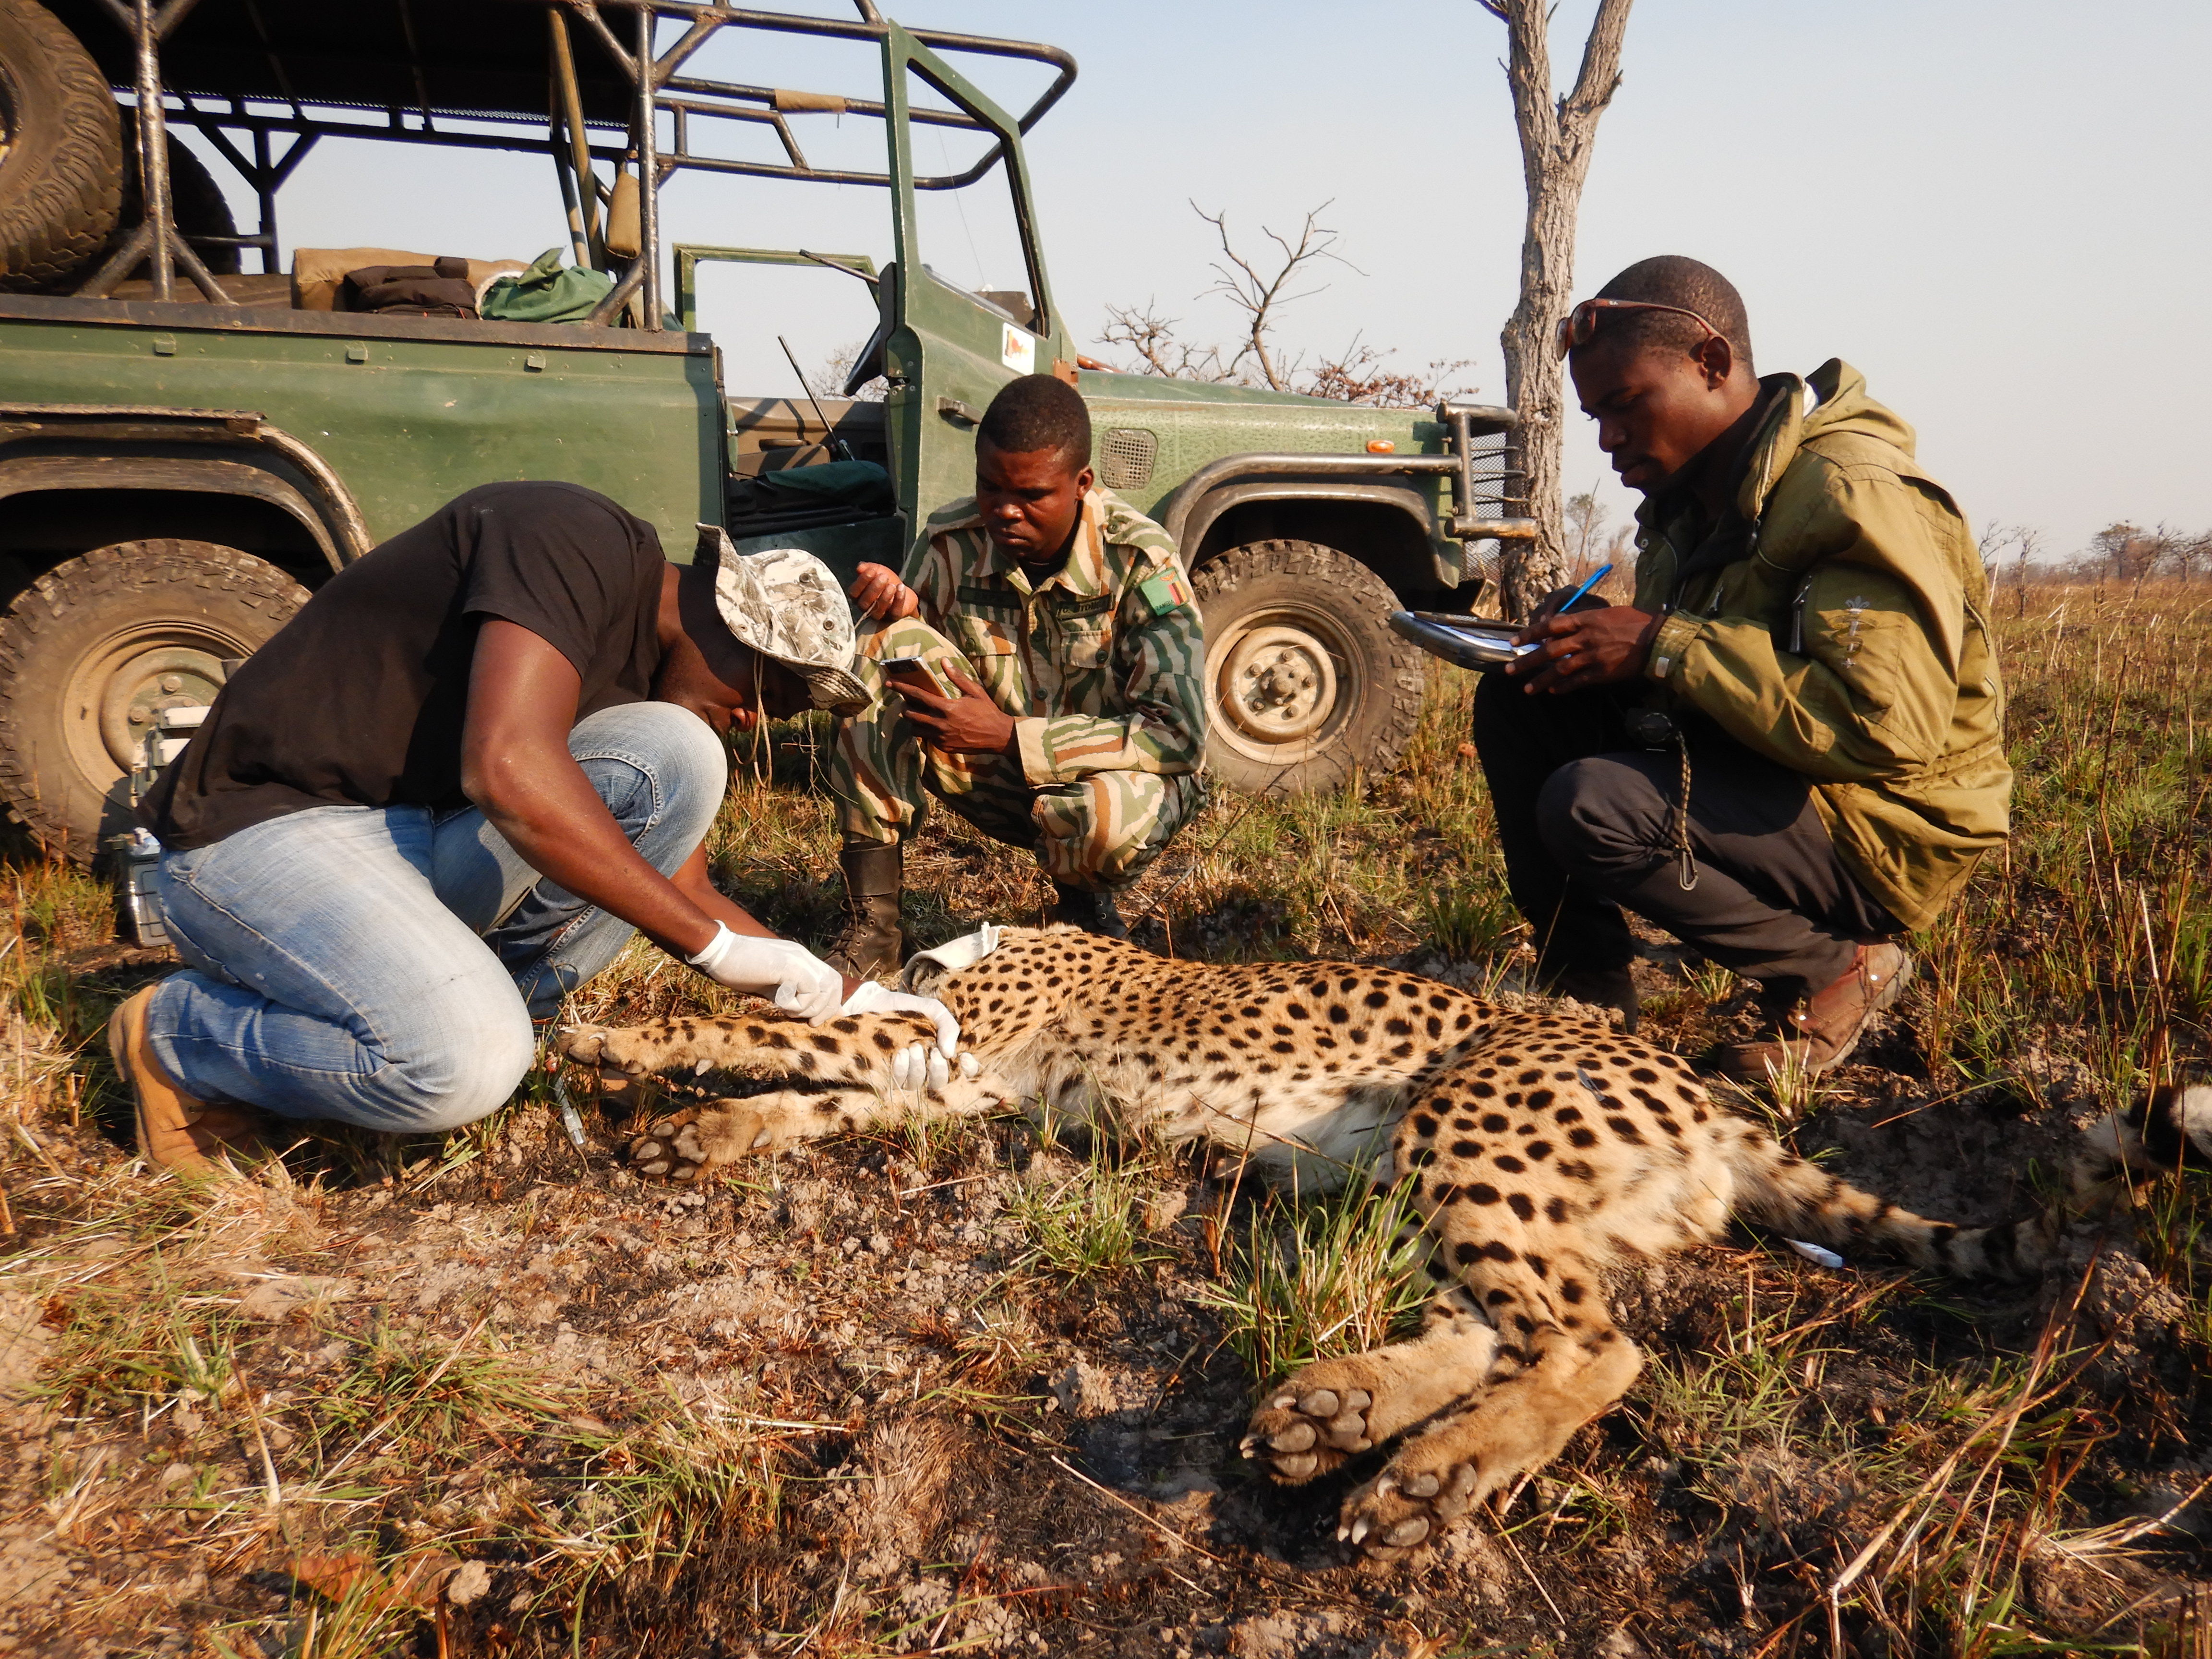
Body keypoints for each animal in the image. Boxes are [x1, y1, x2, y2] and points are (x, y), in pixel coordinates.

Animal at [556, 927, 2211, 1563]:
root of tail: (1706, 1089)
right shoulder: (943, 1081)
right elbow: (804, 1100)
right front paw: (697, 1139)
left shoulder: (927, 1048)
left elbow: (768, 1034)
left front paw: (616, 1038)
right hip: (1429, 1181)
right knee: (1507, 1322)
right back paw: (1335, 1415)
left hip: (1469, 1123)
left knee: (1595, 1344)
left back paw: (1425, 1477)